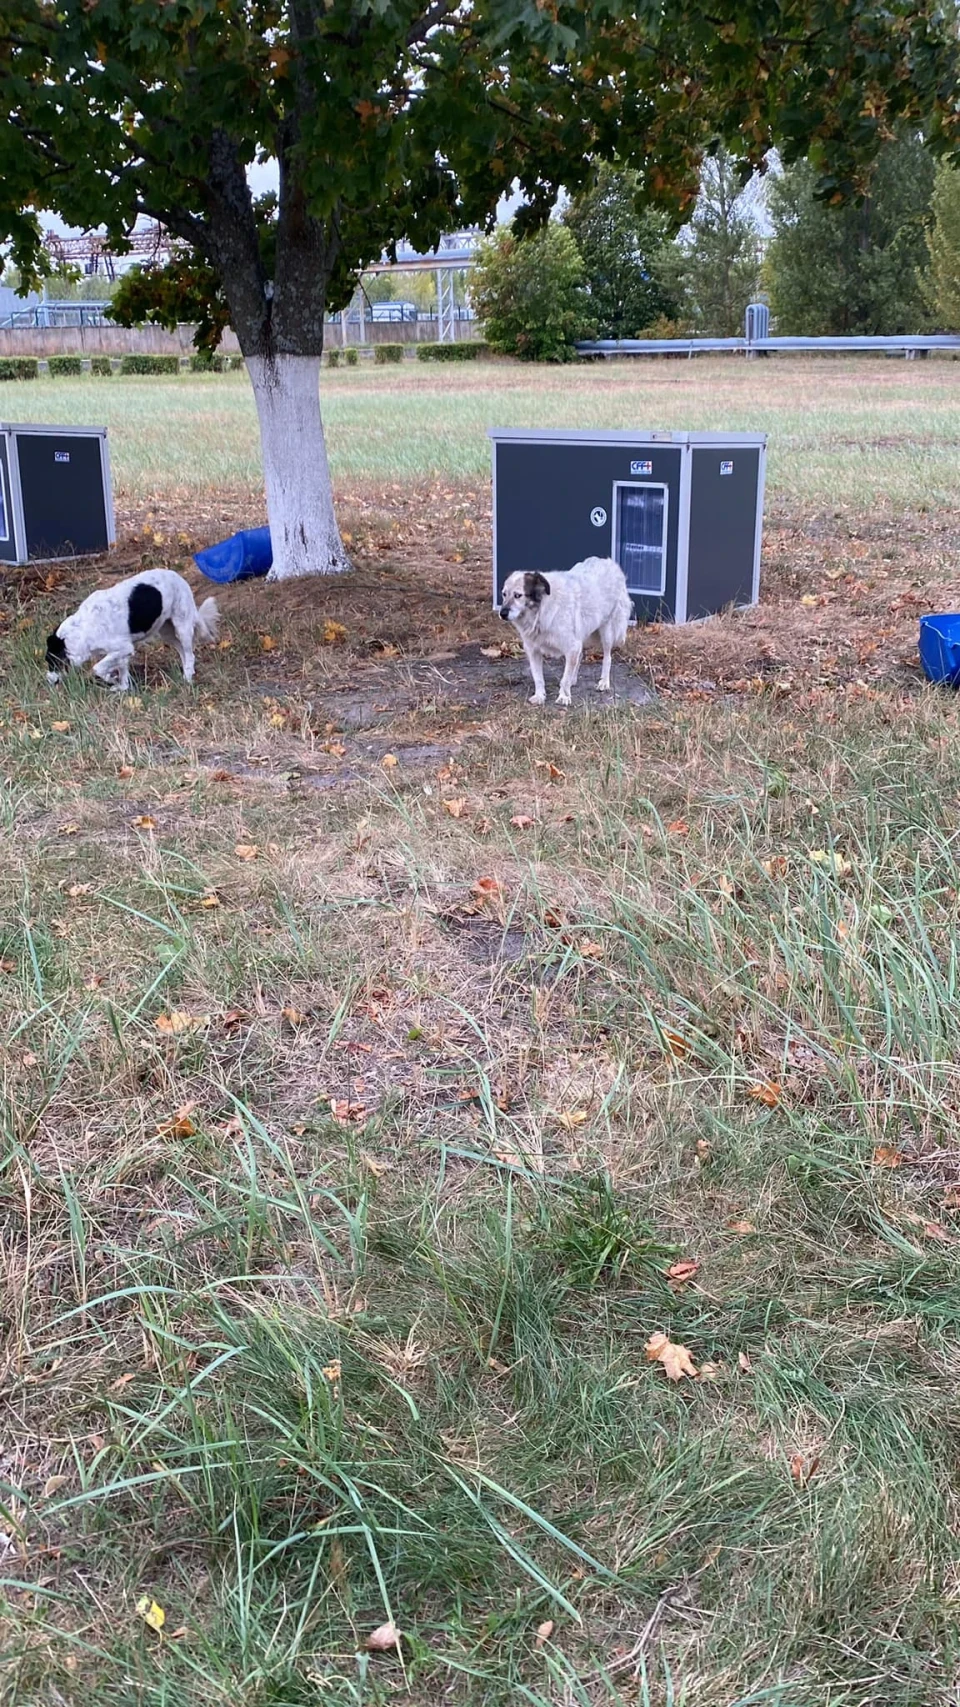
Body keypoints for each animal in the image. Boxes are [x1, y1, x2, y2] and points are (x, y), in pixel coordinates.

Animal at [47, 566, 218, 686]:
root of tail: (179, 578)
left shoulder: (124, 648)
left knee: (189, 654)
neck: (82, 629)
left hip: (182, 627)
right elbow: (121, 674)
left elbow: (98, 668)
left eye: (51, 663)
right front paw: (121, 687)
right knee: (182, 652)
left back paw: (187, 679)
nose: (49, 681)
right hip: (166, 631)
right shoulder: (120, 653)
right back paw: (187, 672)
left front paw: (110, 678)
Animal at [495, 553, 632, 699]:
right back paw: (574, 680)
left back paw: (604, 682)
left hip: (607, 632)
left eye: (518, 595)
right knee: (580, 656)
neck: (541, 610)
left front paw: (564, 697)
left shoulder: (571, 647)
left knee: (607, 657)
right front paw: (539, 696)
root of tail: (609, 562)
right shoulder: (533, 650)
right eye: (504, 594)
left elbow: (564, 678)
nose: (502, 613)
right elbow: (538, 677)